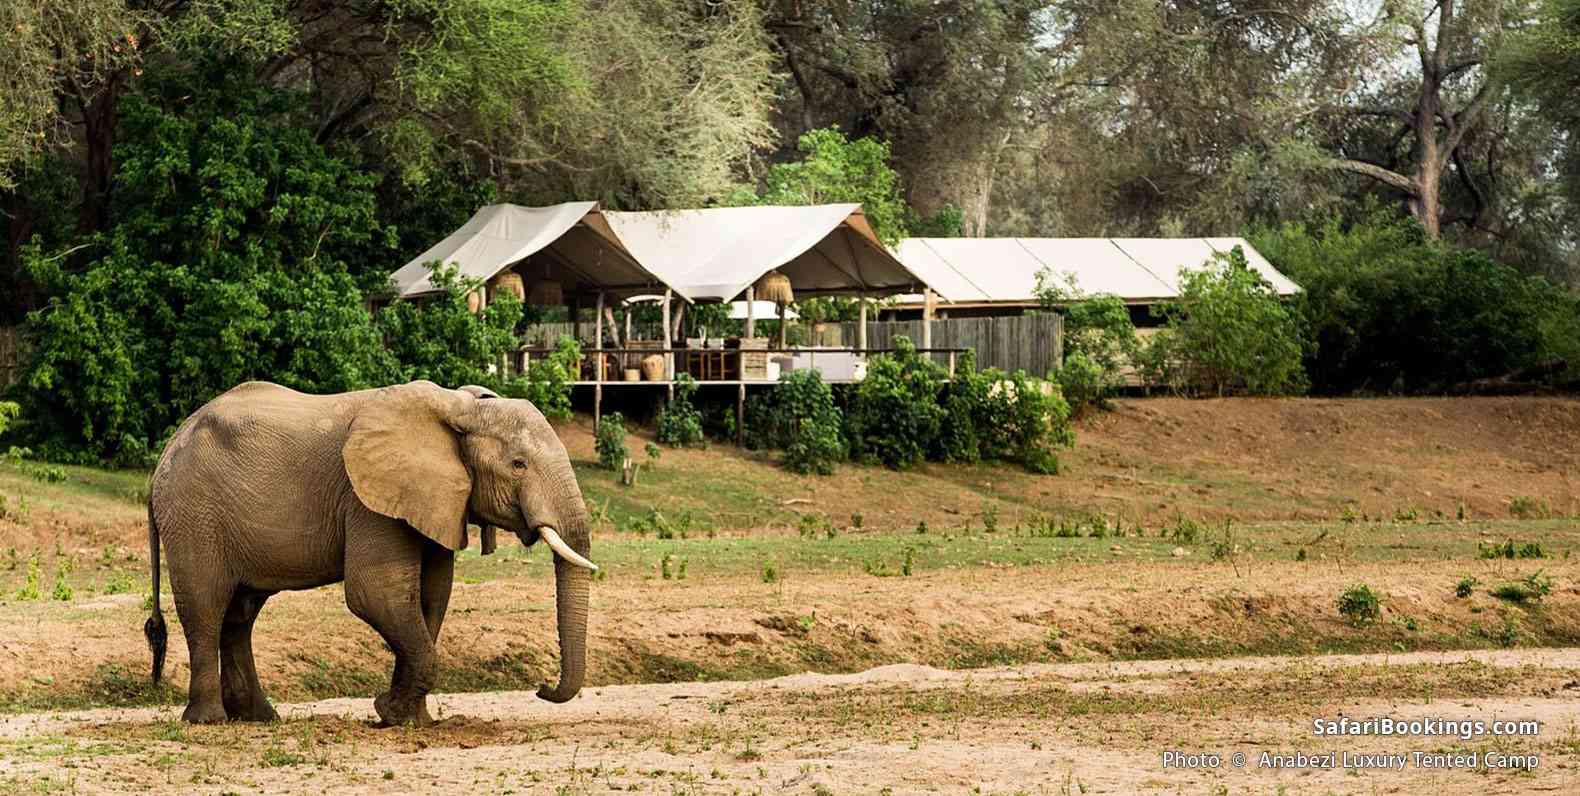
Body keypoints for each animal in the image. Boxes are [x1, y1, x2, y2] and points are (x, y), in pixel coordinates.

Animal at [140, 380, 597, 726]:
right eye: (519, 465)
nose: (541, 687)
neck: (461, 408)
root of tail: (167, 451)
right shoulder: (367, 499)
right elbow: (377, 594)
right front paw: (389, 712)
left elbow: (433, 596)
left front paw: (408, 720)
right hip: (195, 514)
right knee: (206, 606)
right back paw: (209, 721)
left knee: (240, 614)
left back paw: (258, 718)